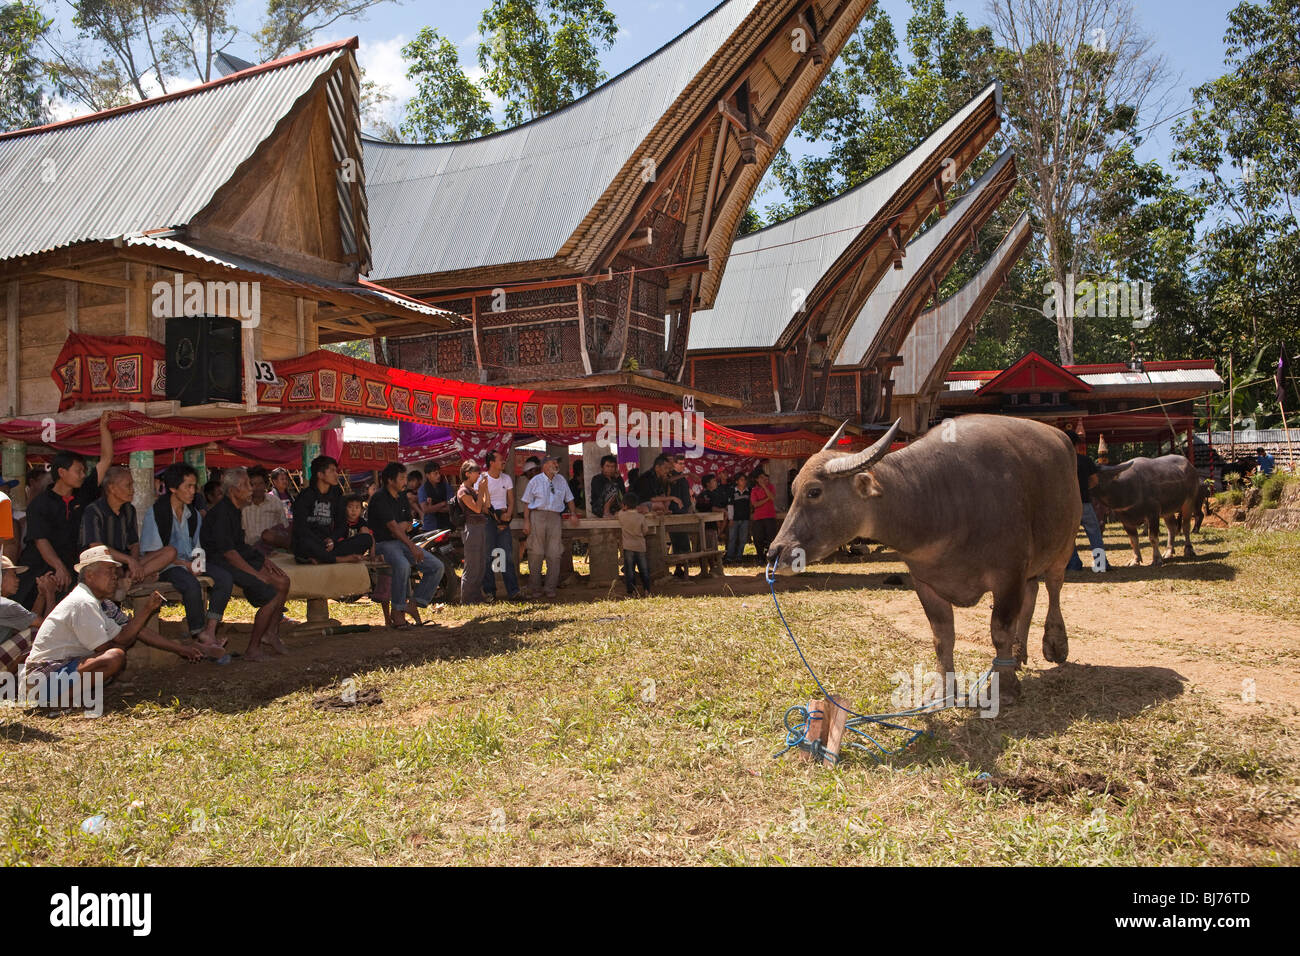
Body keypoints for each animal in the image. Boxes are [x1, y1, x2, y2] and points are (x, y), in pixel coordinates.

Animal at [764, 416, 1081, 702]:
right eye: (793, 491)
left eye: (814, 491)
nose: (775, 552)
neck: (941, 500)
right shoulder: (925, 582)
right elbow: (942, 636)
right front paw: (943, 688)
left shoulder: (1008, 574)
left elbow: (1000, 630)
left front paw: (1005, 687)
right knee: (1032, 591)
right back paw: (1019, 652)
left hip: (1064, 545)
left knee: (1053, 587)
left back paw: (1055, 643)